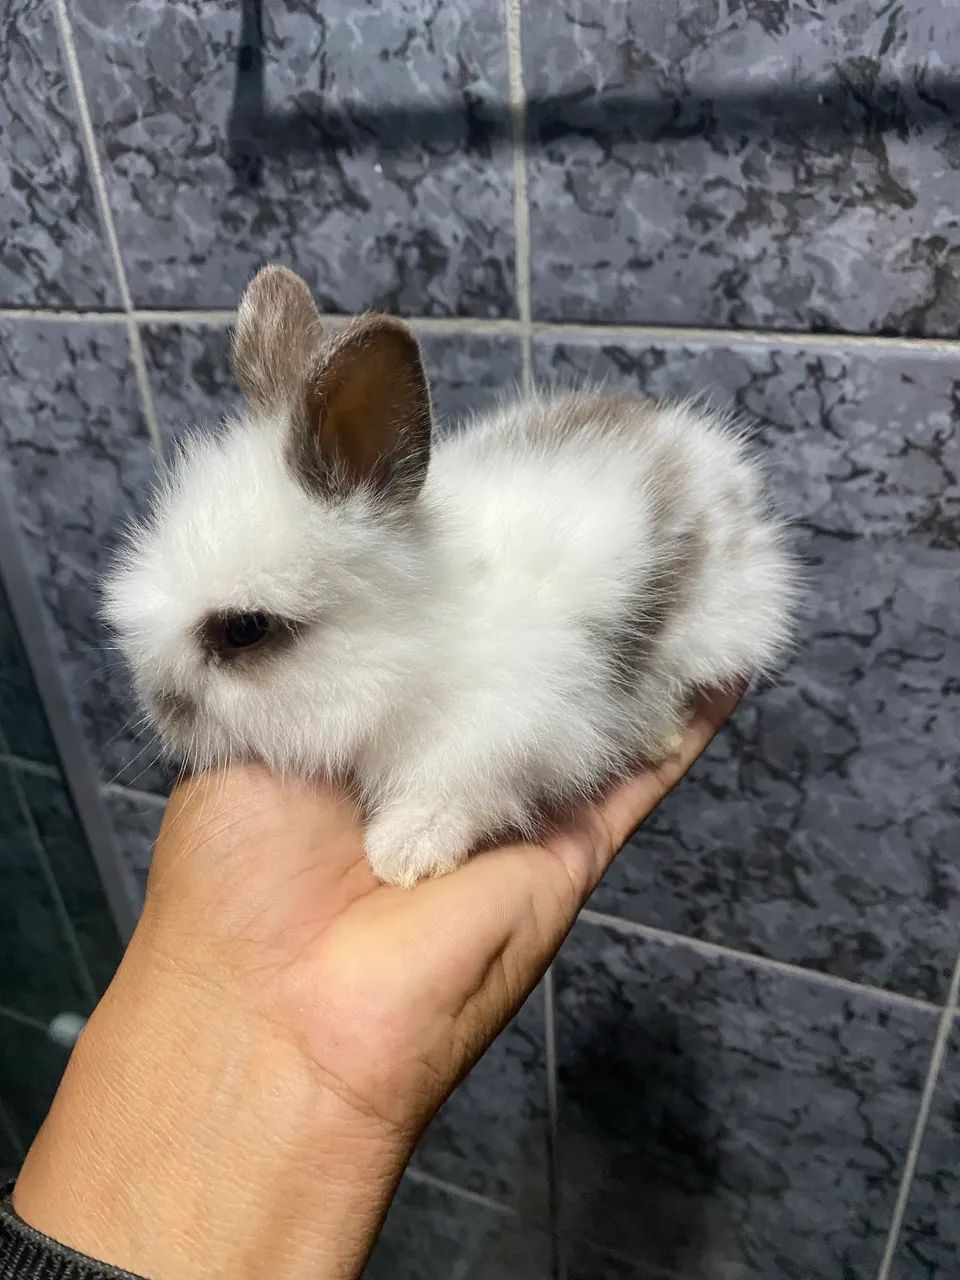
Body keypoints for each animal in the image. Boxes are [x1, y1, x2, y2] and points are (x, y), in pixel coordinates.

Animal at [103, 265, 797, 887]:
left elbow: (454, 793)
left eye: (245, 629)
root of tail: (711, 456)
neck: (418, 640)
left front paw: (403, 854)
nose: (161, 709)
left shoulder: (502, 733)